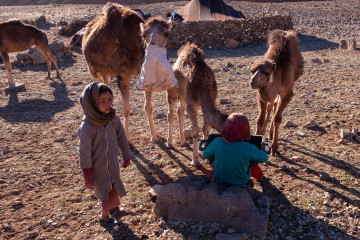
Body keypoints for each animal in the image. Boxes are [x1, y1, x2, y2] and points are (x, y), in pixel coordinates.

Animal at [82, 2, 172, 142]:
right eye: (143, 35)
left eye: (167, 34)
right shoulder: (123, 76)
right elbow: (126, 109)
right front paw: (127, 138)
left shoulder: (146, 78)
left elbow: (148, 107)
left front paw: (155, 136)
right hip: (92, 68)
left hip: (105, 71)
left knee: (105, 84)